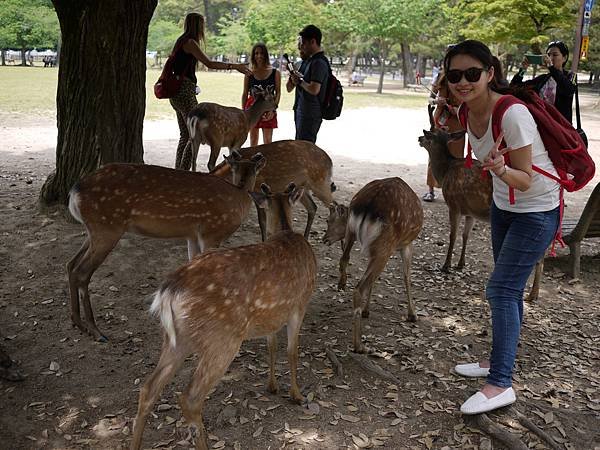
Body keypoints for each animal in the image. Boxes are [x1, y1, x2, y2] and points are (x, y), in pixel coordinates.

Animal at [63, 151, 268, 342]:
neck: (238, 196)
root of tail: (74, 193)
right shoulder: (212, 232)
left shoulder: (192, 236)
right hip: (107, 227)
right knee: (82, 271)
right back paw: (96, 331)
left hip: (95, 230)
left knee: (71, 264)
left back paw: (78, 322)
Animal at [130, 183, 318, 450]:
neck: (286, 232)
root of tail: (168, 292)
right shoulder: (300, 304)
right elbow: (292, 351)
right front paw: (297, 395)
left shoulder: (272, 315)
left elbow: (272, 345)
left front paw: (272, 386)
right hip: (222, 340)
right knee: (189, 397)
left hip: (176, 338)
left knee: (148, 389)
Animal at [324, 178, 422, 354]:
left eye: (328, 220)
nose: (324, 238)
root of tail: (370, 204)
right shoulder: (406, 244)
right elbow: (407, 277)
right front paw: (413, 314)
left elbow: (375, 279)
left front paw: (367, 310)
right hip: (386, 244)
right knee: (359, 287)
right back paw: (359, 346)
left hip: (353, 234)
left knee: (344, 259)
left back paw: (342, 284)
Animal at [418, 106, 544, 300]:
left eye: (429, 133)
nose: (418, 138)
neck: (445, 171)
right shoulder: (471, 211)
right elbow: (466, 235)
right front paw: (461, 263)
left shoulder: (453, 204)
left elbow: (453, 235)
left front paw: (446, 265)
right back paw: (534, 293)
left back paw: (533, 294)